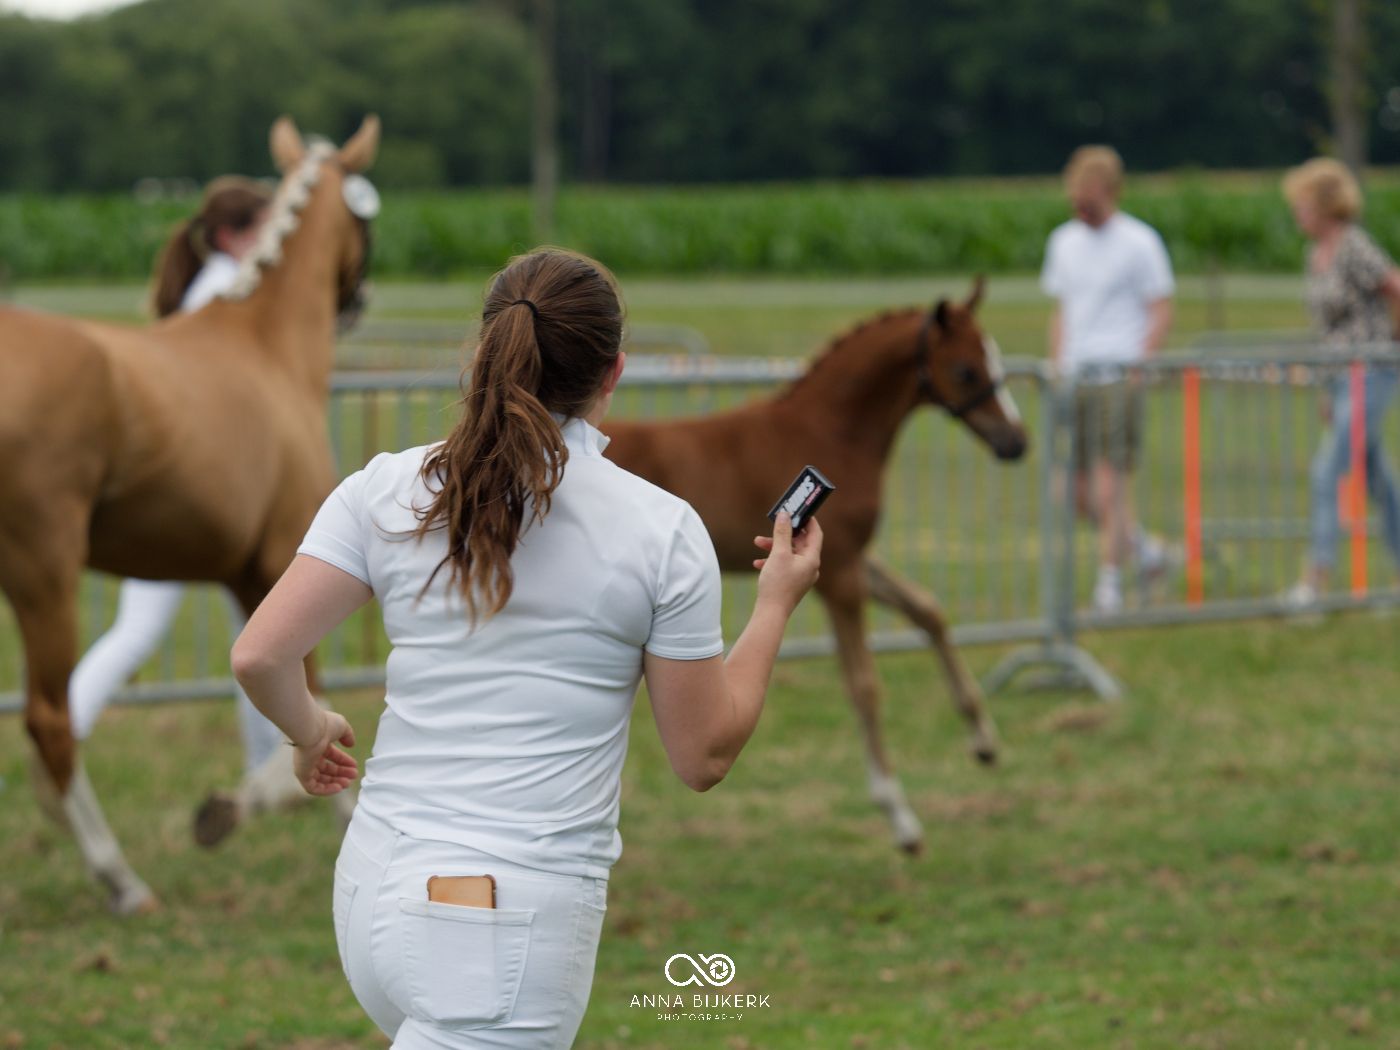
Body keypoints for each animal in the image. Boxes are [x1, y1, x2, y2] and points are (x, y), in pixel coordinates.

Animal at [0, 114, 380, 914]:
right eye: (366, 211)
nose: (358, 299)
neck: (267, 349)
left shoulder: (243, 576)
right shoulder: (287, 560)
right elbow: (312, 700)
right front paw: (261, 805)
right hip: (41, 568)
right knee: (51, 719)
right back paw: (120, 879)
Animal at [603, 282, 1027, 854]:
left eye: (996, 357)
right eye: (965, 370)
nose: (1016, 442)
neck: (834, 430)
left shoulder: (845, 558)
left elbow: (928, 610)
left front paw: (984, 741)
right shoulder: (843, 574)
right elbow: (864, 685)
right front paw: (900, 818)